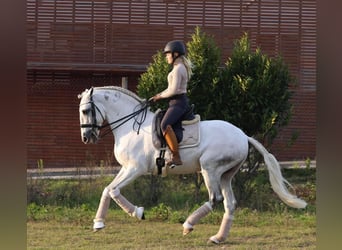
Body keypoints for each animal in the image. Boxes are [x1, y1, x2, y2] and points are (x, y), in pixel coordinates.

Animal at [78, 86, 308, 244]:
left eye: (87, 110)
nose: (87, 137)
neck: (132, 127)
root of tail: (243, 135)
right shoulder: (126, 168)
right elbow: (108, 189)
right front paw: (99, 223)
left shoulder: (136, 169)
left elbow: (114, 190)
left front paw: (137, 212)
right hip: (226, 175)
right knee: (230, 203)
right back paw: (218, 238)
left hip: (210, 169)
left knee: (215, 198)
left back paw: (188, 225)